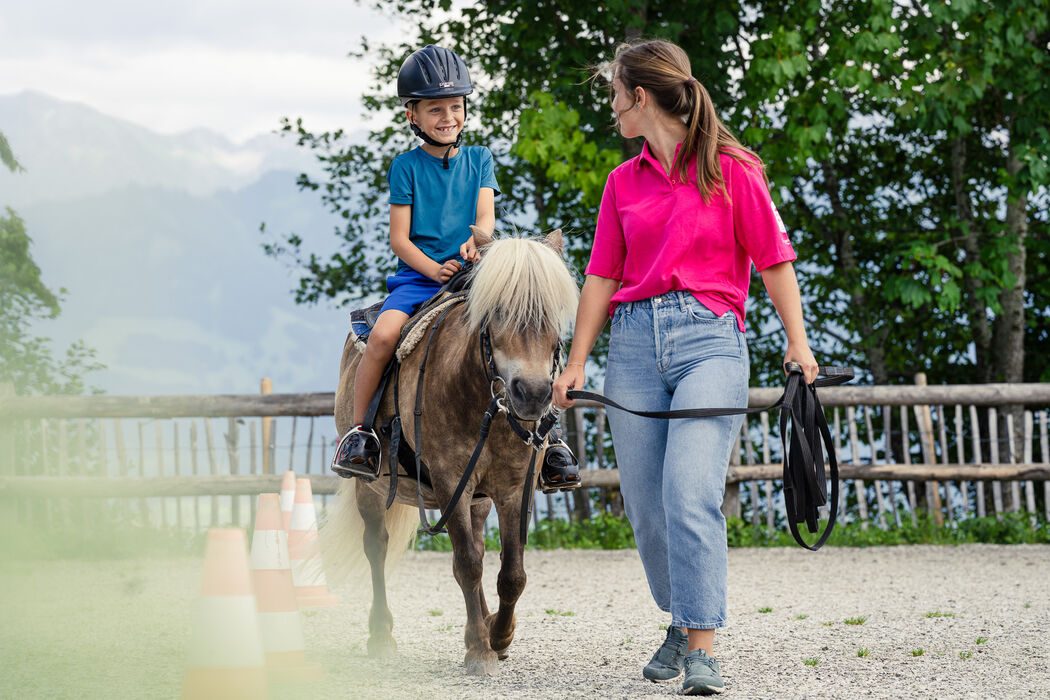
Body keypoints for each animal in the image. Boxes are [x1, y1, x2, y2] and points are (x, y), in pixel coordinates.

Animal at [323, 228, 579, 671]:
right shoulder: (450, 481)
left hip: (477, 498)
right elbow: (468, 565)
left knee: (478, 544)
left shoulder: (515, 488)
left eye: (553, 313)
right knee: (378, 547)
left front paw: (500, 636)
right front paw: (479, 649)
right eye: (498, 311)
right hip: (370, 487)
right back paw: (381, 635)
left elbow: (512, 572)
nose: (531, 394)